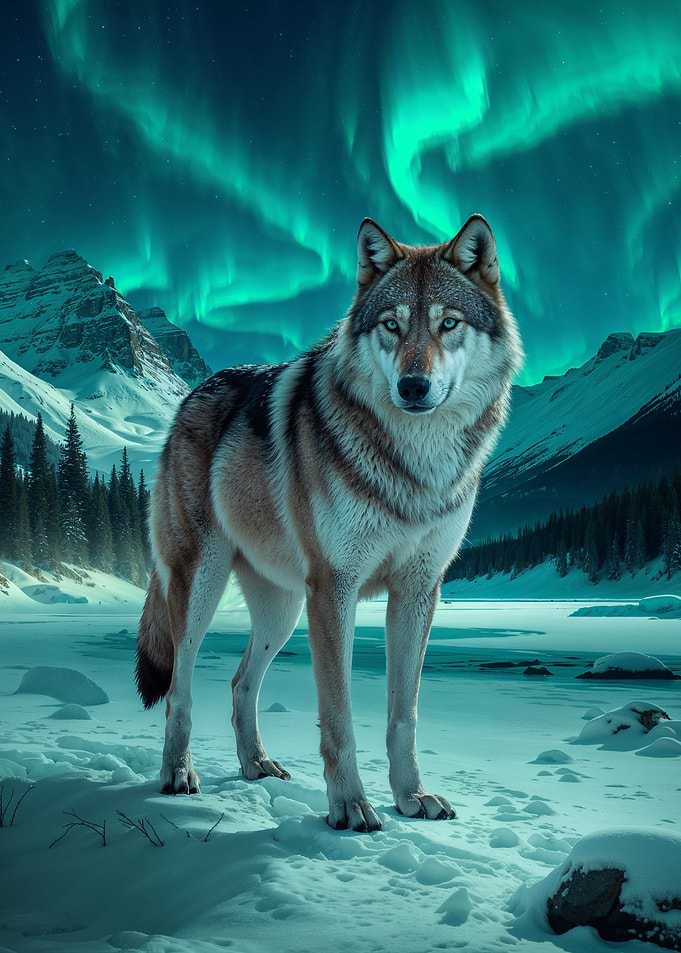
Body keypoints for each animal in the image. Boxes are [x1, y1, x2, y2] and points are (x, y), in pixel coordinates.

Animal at [136, 213, 522, 832]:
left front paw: (412, 796)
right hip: (204, 590)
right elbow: (338, 716)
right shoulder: (335, 588)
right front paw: (350, 807)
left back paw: (257, 765)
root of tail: (189, 398)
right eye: (391, 325)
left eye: (448, 324)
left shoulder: (419, 589)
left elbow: (404, 716)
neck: (415, 466)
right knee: (180, 688)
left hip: (283, 609)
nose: (413, 387)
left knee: (240, 683)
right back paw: (177, 775)